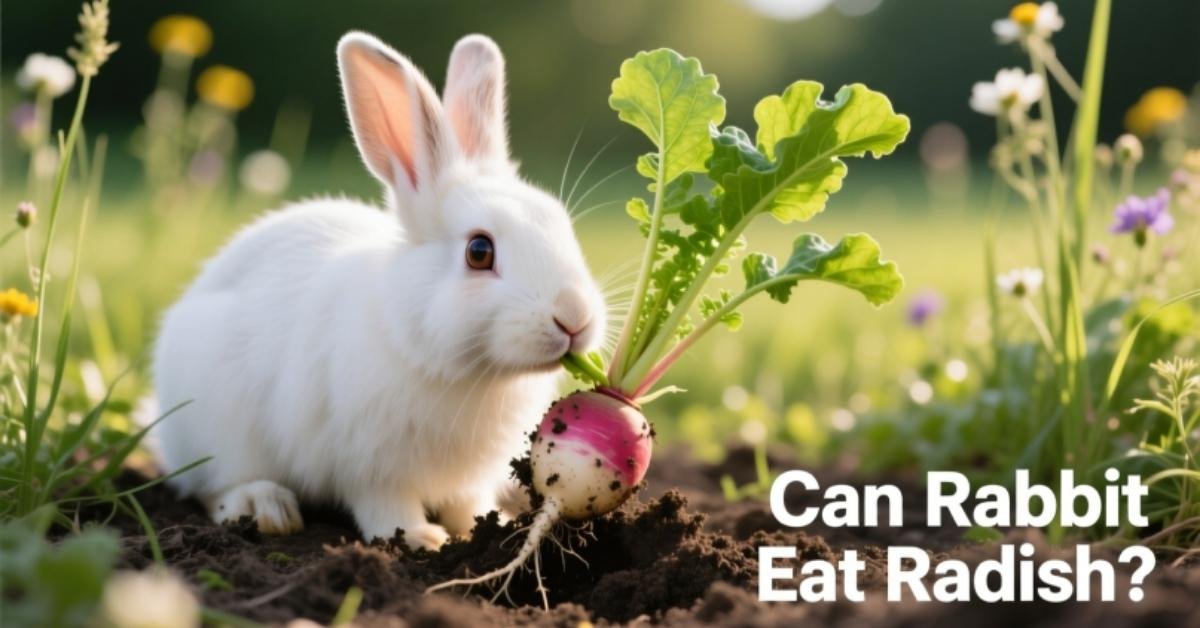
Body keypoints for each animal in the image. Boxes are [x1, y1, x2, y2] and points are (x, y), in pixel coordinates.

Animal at [152, 32, 606, 550]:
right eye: (479, 251)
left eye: (561, 223)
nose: (574, 317)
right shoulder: (370, 466)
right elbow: (385, 507)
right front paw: (423, 540)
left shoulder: (468, 478)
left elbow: (468, 504)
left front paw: (489, 526)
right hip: (220, 430)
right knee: (212, 488)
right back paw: (265, 508)